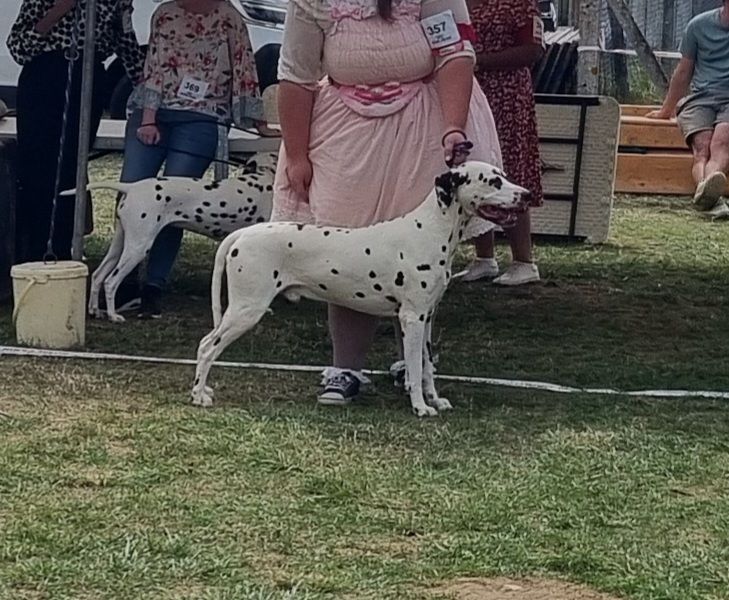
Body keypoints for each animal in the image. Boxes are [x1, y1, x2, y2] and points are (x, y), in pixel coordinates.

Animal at [65, 153, 277, 323]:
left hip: (120, 246)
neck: (262, 178)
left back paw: (95, 310)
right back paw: (113, 316)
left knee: (98, 275)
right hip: (138, 247)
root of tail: (131, 187)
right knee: (110, 282)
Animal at [190, 161, 529, 417]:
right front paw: (420, 407)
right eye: (494, 181)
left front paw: (434, 399)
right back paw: (198, 395)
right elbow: (415, 368)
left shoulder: (427, 318)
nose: (526, 195)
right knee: (207, 347)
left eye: (503, 175)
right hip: (246, 310)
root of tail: (242, 235)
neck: (430, 230)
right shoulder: (411, 318)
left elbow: (427, 367)